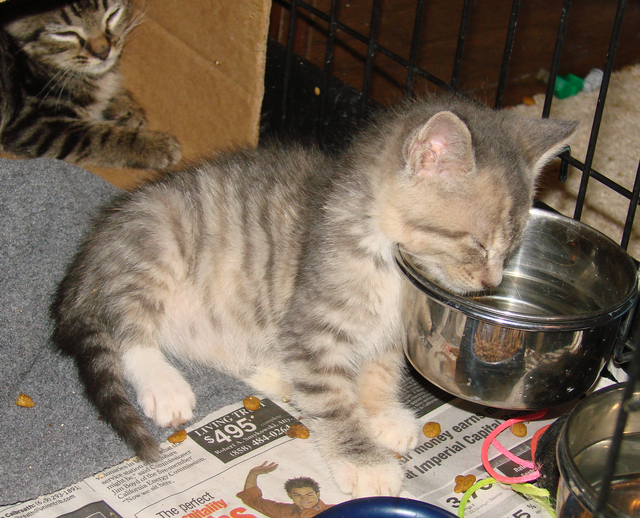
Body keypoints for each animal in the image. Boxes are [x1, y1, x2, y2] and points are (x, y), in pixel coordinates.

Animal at [0, 0, 180, 171]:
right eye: (65, 34)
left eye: (112, 15)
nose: (103, 52)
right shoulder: (30, 124)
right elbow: (99, 137)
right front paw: (155, 145)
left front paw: (124, 106)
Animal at [52, 95, 576, 498]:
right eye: (478, 245)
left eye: (512, 248)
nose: (491, 282)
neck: (386, 260)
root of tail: (95, 244)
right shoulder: (312, 327)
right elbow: (333, 400)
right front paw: (366, 462)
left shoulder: (389, 334)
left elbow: (380, 371)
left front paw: (382, 412)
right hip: (159, 239)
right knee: (127, 325)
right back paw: (164, 384)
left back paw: (273, 374)